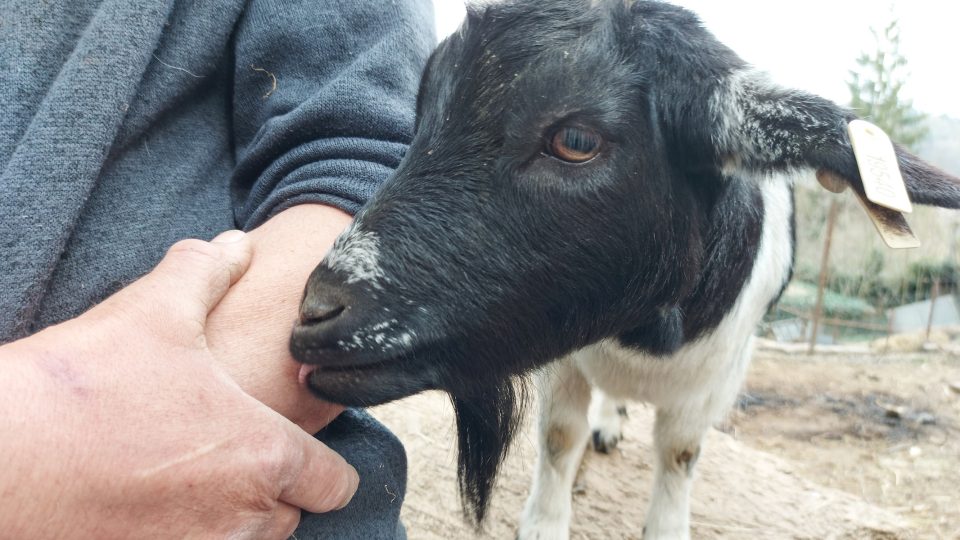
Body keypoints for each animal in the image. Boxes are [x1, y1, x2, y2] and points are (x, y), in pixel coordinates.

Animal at [290, 2, 960, 536]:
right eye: (423, 118)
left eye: (577, 140)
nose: (316, 314)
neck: (642, 336)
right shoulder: (564, 359)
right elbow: (560, 436)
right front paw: (545, 520)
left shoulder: (718, 374)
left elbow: (681, 453)